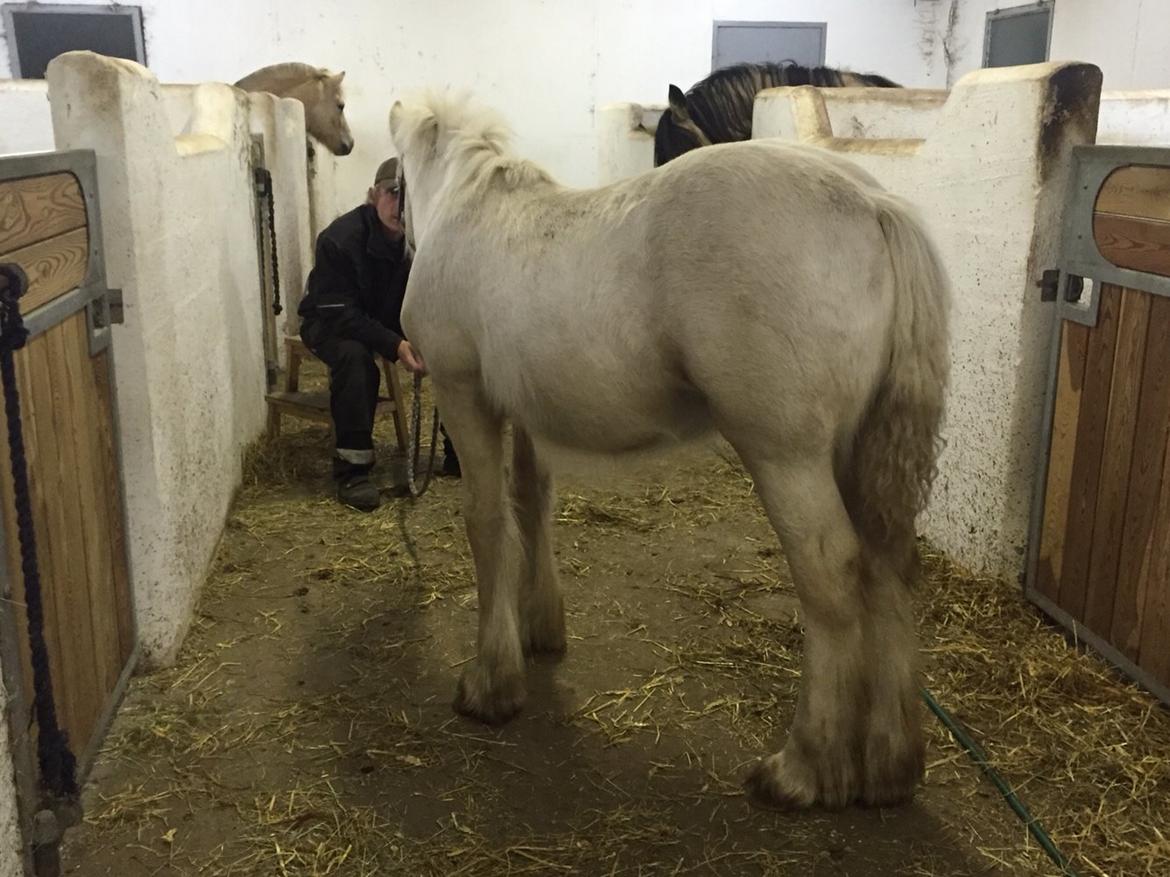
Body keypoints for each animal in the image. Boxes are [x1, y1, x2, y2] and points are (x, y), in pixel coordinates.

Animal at [388, 92, 954, 813]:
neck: (469, 209)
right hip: (858, 452)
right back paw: (888, 765)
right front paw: (539, 630)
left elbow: (488, 526)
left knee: (831, 577)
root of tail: (873, 204)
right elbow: (531, 505)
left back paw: (803, 766)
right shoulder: (525, 412)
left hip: (788, 456)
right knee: (886, 567)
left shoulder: (465, 396)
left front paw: (491, 685)